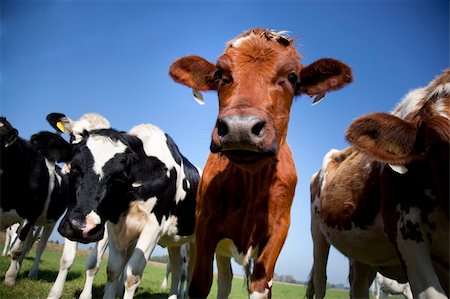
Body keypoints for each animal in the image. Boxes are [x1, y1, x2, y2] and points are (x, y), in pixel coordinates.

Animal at [0, 116, 69, 286]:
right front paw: (14, 272)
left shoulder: (30, 216)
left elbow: (16, 250)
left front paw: (10, 278)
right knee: (27, 244)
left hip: (50, 223)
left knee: (38, 247)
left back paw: (31, 273)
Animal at [51, 120, 200, 299]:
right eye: (74, 167)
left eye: (119, 177)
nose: (80, 226)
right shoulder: (114, 224)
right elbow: (113, 270)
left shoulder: (154, 227)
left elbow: (132, 275)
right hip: (175, 242)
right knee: (177, 270)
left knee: (190, 275)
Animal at [169, 28, 352, 299]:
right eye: (220, 74)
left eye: (292, 76)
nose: (240, 128)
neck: (251, 182)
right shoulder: (205, 225)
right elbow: (200, 283)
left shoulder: (279, 229)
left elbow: (260, 285)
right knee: (224, 280)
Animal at [308, 68, 448, 299]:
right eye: (434, 148)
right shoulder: (408, 235)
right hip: (318, 235)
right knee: (320, 282)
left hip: (361, 253)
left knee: (358, 287)